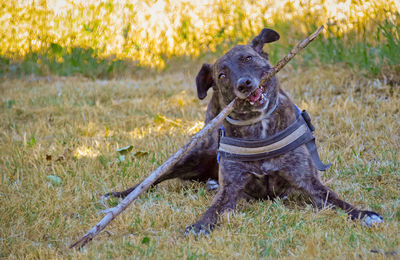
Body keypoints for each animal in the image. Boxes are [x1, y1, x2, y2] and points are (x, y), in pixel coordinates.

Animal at [106, 27, 384, 234]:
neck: (258, 126)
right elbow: (214, 209)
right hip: (192, 156)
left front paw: (364, 214)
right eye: (222, 75)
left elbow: (335, 199)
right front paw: (199, 225)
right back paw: (119, 195)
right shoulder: (231, 189)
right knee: (153, 181)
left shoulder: (308, 181)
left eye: (247, 58)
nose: (244, 84)